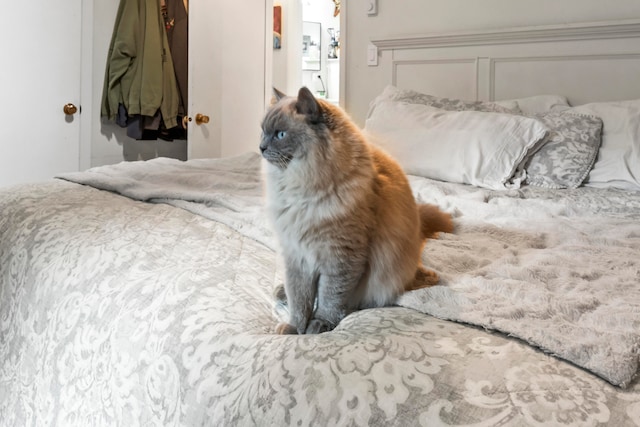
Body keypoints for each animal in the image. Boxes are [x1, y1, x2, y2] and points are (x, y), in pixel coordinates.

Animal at [258, 86, 452, 334]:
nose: (261, 148)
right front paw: (294, 328)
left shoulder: (341, 256)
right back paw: (281, 292)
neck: (302, 189)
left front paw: (318, 325)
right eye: (263, 132)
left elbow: (330, 298)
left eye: (280, 134)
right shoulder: (297, 255)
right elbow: (300, 301)